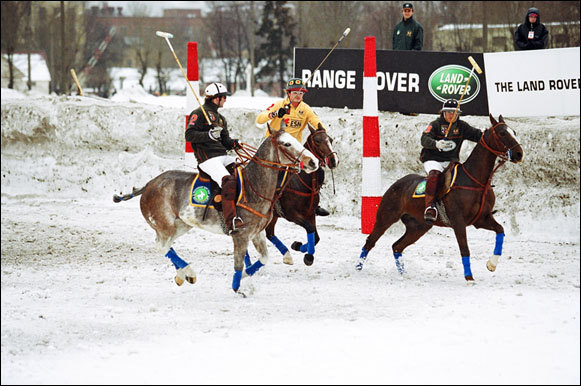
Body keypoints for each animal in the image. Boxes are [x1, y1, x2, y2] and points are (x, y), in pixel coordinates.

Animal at [112, 126, 318, 292]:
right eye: (286, 144)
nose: (313, 162)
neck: (255, 186)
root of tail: (148, 185)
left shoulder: (256, 233)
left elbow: (263, 258)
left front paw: (246, 276)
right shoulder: (241, 235)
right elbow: (238, 264)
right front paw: (237, 287)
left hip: (182, 224)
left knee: (165, 245)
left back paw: (182, 275)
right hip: (165, 224)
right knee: (162, 246)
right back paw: (189, 271)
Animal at [262, 123, 340, 266]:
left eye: (330, 140)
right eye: (317, 141)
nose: (333, 160)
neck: (303, 182)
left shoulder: (310, 214)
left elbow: (316, 236)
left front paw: (301, 249)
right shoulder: (291, 214)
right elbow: (310, 229)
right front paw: (303, 251)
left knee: (269, 234)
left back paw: (287, 256)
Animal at [356, 113, 524, 282]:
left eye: (514, 131)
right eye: (502, 133)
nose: (519, 154)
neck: (476, 181)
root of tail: (396, 183)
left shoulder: (481, 219)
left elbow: (500, 230)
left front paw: (491, 264)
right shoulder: (458, 221)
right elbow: (465, 249)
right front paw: (469, 278)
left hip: (418, 226)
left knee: (397, 246)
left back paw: (403, 273)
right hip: (386, 217)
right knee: (370, 241)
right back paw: (357, 268)